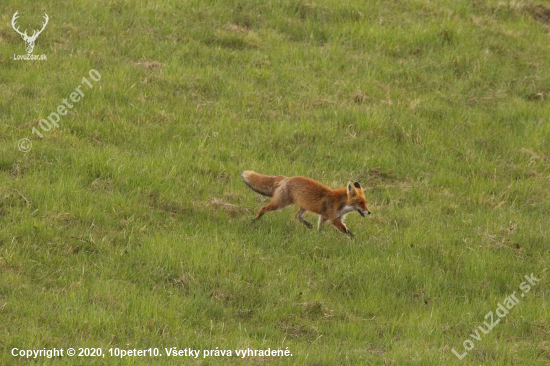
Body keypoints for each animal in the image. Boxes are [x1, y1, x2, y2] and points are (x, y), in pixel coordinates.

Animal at [242, 171, 370, 237]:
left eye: (365, 202)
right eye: (360, 202)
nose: (369, 212)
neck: (339, 202)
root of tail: (286, 178)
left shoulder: (324, 216)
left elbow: (320, 228)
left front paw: (318, 236)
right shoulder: (334, 219)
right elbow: (348, 232)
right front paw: (356, 241)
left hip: (303, 206)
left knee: (297, 216)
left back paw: (308, 225)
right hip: (280, 204)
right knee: (263, 208)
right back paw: (254, 220)